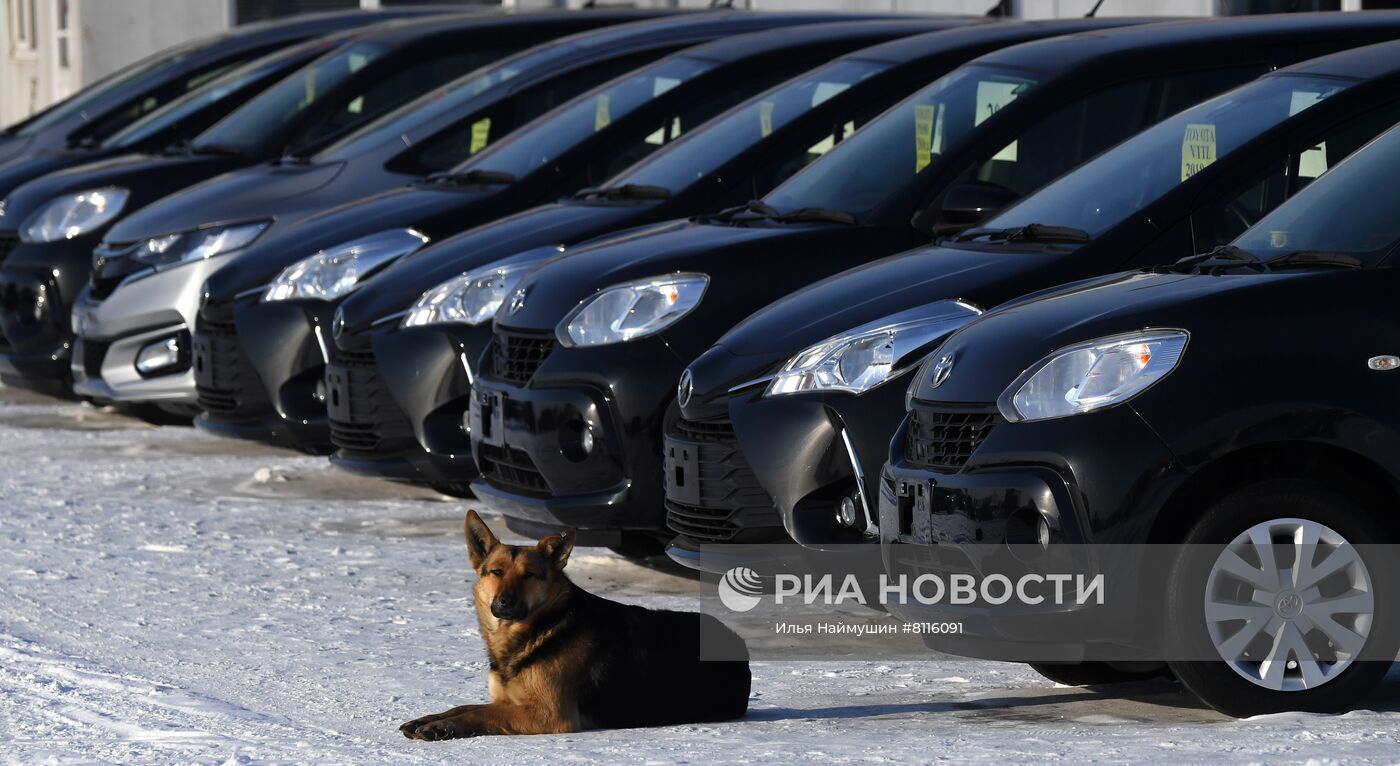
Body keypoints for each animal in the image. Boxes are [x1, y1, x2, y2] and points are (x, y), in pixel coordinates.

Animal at [400, 512, 750, 739]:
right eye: (496, 572)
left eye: (529, 575)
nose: (504, 603)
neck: (539, 629)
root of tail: (738, 645)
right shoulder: (508, 701)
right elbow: (463, 705)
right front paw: (430, 719)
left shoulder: (548, 713)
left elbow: (480, 713)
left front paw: (441, 728)